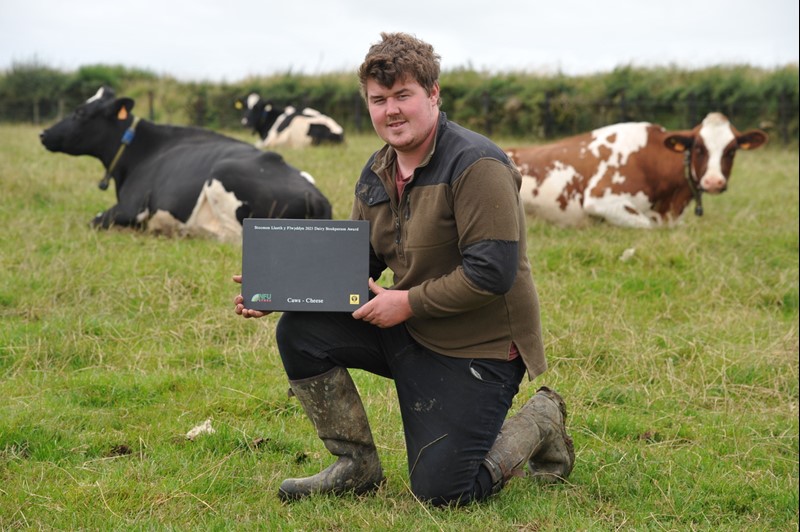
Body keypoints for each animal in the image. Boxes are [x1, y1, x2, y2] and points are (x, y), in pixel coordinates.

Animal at [39, 88, 332, 243]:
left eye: (80, 113)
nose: (43, 133)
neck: (138, 153)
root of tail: (317, 197)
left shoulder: (132, 207)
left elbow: (95, 220)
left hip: (224, 174)